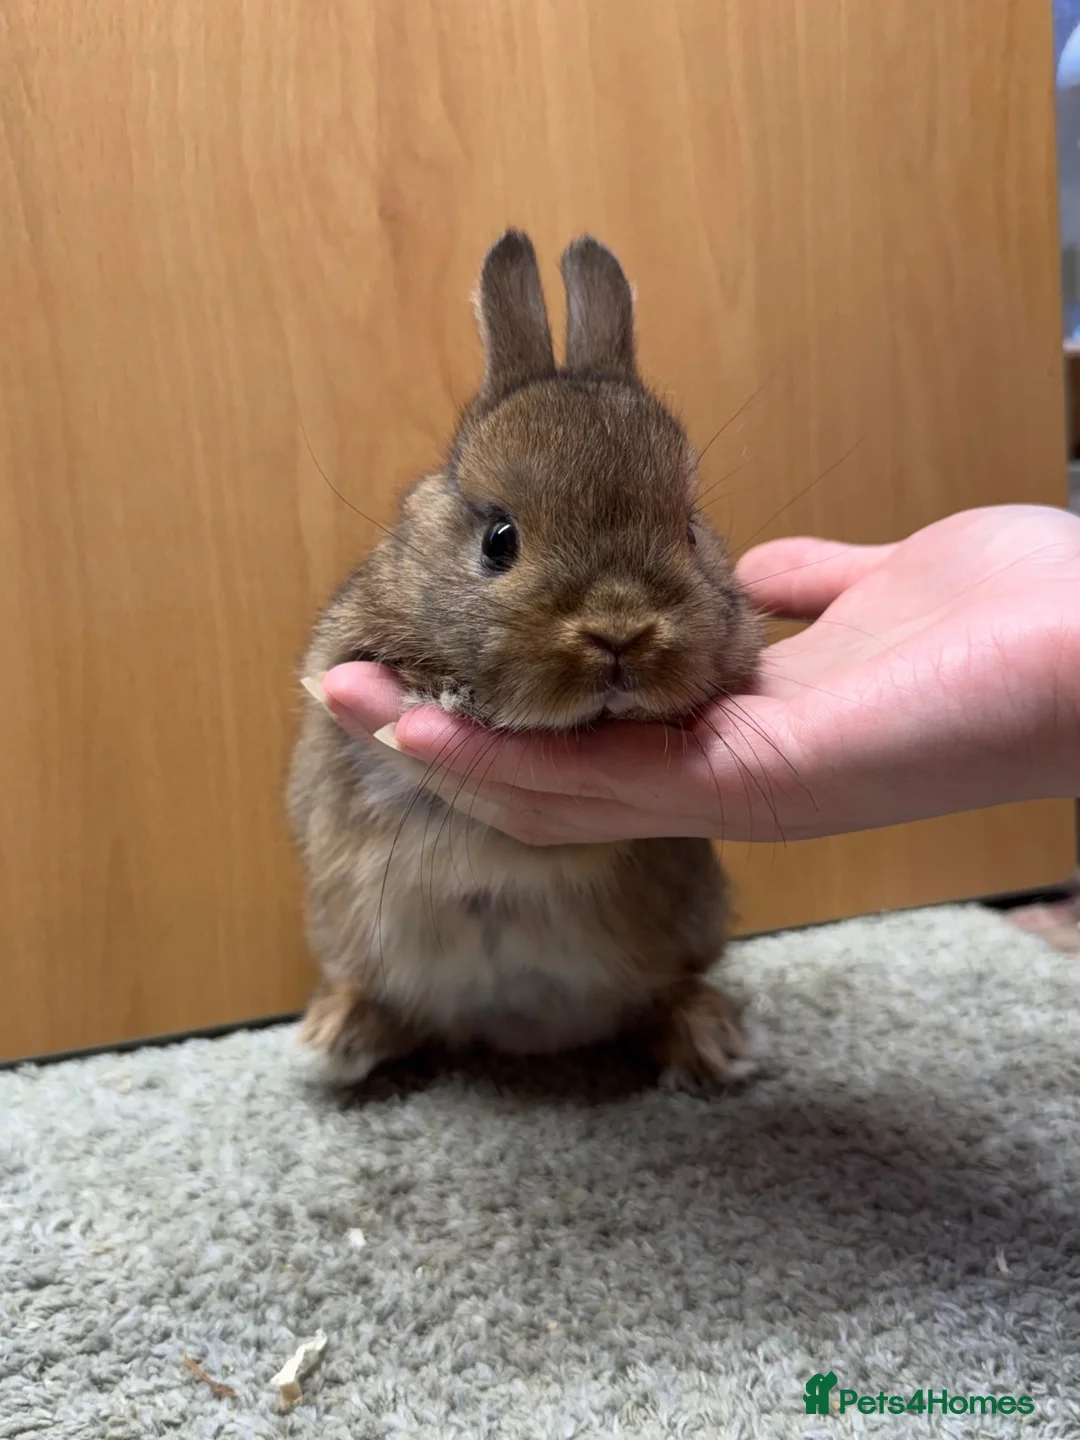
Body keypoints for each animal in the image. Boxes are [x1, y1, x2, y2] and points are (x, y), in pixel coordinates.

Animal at [287, 229, 764, 1090]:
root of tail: (522, 1036)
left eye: (687, 531)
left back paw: (713, 1041)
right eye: (498, 540)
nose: (619, 633)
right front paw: (443, 697)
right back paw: (335, 1041)